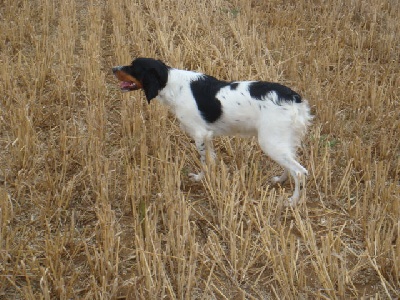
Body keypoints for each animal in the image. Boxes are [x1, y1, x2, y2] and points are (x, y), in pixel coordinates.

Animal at [112, 57, 312, 205]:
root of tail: (295, 98)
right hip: (280, 142)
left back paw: (292, 201)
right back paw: (280, 180)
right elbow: (212, 159)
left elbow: (204, 161)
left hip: (270, 142)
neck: (172, 85)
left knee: (300, 172)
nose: (113, 68)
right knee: (290, 165)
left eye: (133, 67)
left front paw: (199, 178)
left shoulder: (199, 134)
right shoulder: (207, 135)